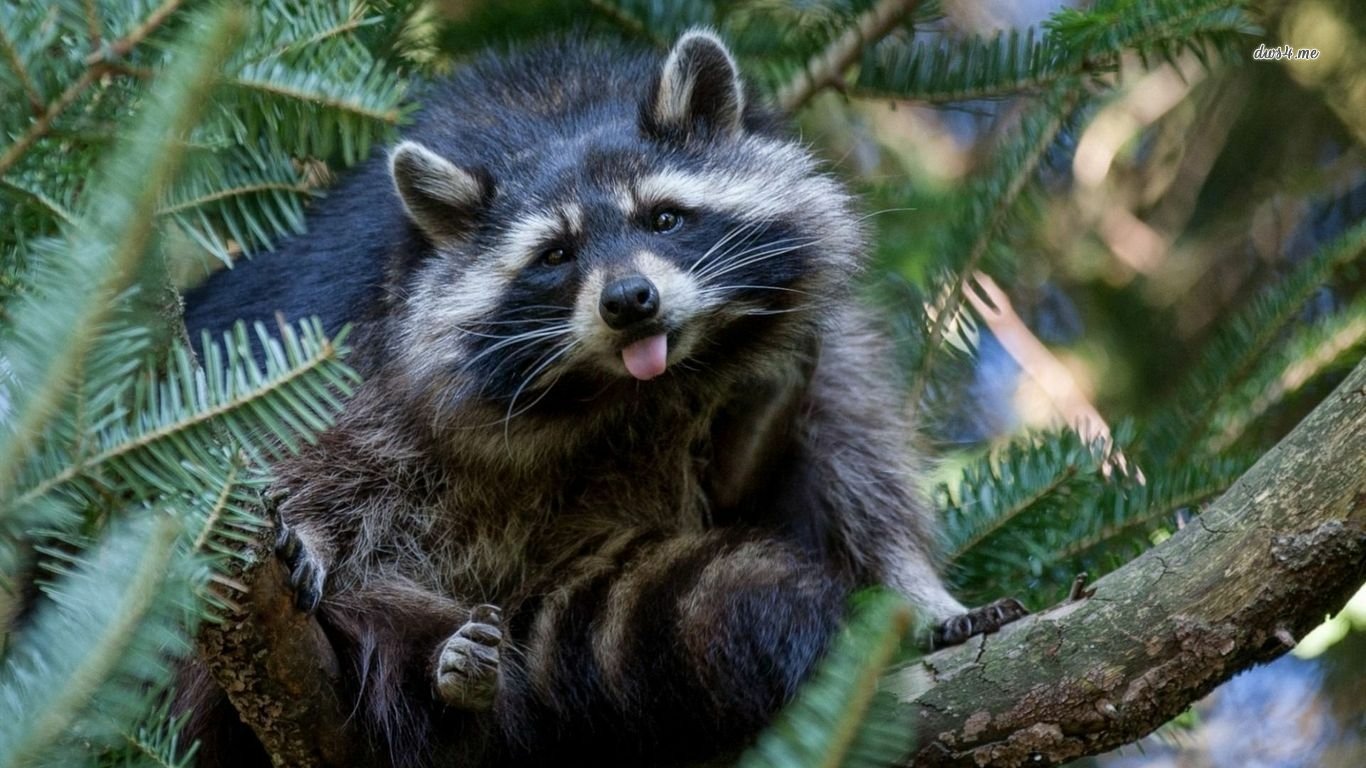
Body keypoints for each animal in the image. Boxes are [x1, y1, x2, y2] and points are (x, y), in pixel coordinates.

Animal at [180, 30, 1025, 768]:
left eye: (663, 217)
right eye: (555, 255)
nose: (629, 301)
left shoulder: (813, 334)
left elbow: (858, 464)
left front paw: (920, 594)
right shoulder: (365, 346)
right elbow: (327, 458)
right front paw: (315, 532)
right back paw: (439, 675)